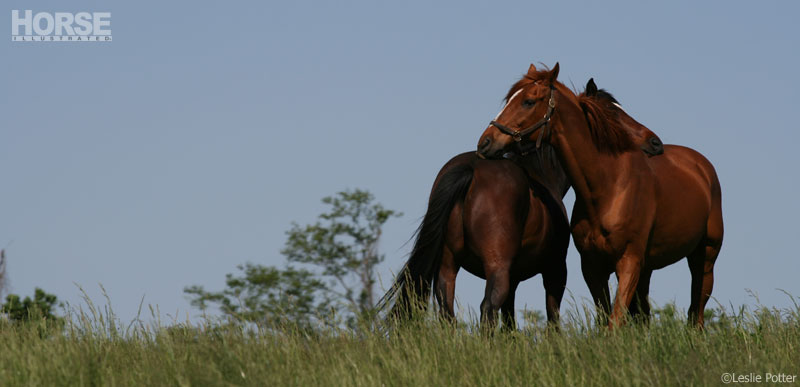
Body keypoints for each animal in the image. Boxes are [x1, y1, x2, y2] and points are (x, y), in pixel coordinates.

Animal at [482, 63, 724, 328]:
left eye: (528, 101)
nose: (485, 142)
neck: (607, 189)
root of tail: (701, 166)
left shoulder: (628, 263)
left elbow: (614, 321)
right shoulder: (593, 267)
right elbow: (604, 318)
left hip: (705, 258)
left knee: (696, 311)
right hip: (649, 268)